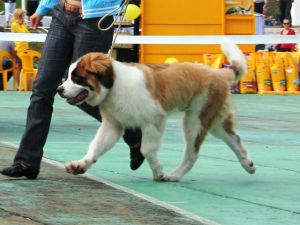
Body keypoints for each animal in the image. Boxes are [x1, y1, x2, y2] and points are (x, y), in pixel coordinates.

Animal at [57, 38, 256, 182]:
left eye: (77, 78)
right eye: (68, 76)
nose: (59, 90)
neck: (114, 86)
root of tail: (219, 72)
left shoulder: (153, 121)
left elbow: (146, 149)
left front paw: (158, 171)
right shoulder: (113, 125)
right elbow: (96, 146)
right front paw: (81, 165)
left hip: (195, 120)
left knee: (192, 153)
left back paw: (174, 175)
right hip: (213, 118)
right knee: (234, 138)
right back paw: (248, 164)